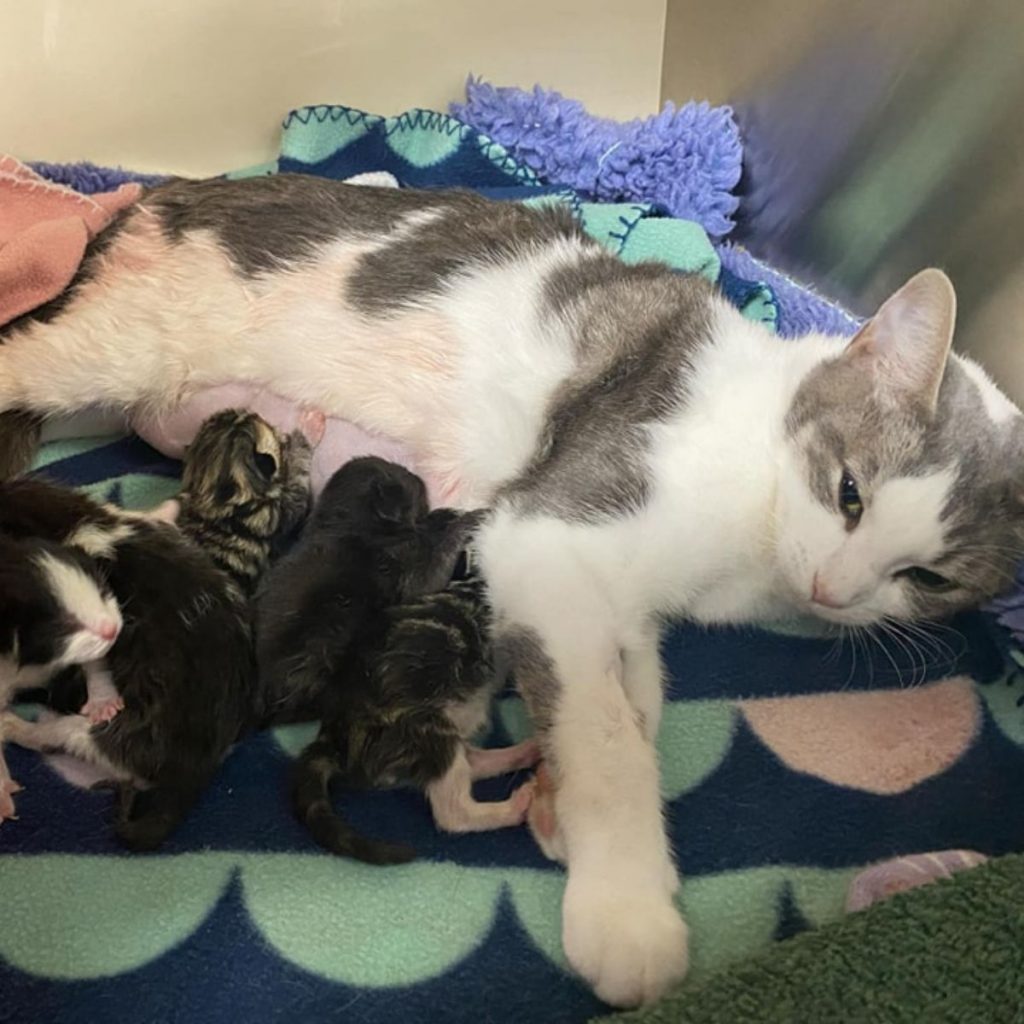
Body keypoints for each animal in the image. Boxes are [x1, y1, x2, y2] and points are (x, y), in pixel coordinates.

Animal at [0, 479, 253, 847]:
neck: (75, 517)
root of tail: (197, 763)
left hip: (124, 733)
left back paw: (15, 726)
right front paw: (175, 504)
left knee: (66, 735)